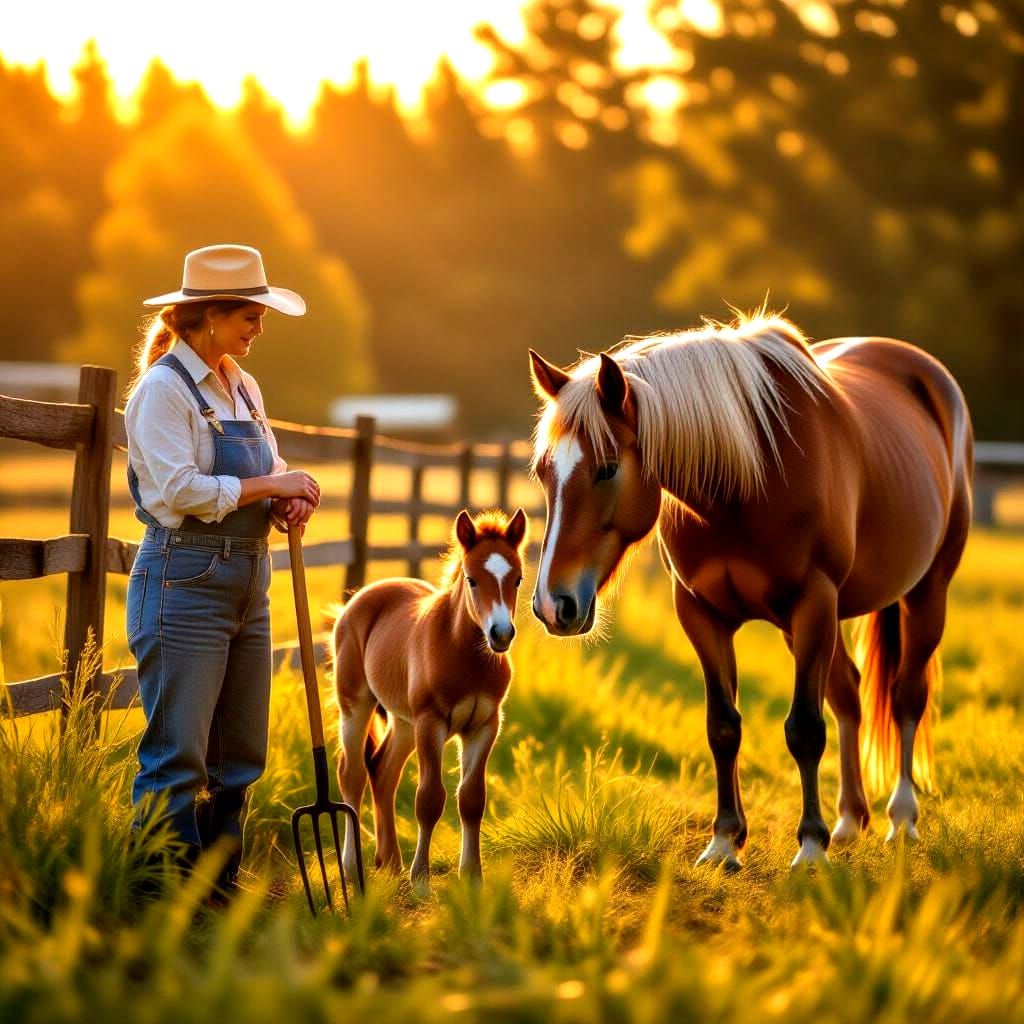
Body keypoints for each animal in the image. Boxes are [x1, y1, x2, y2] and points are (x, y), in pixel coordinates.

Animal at [332, 508, 528, 888]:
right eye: (471, 579)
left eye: (517, 579)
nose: (501, 633)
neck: (464, 654)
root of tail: (361, 596)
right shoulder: (431, 722)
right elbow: (429, 799)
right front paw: (421, 880)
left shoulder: (485, 725)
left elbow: (471, 799)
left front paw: (472, 877)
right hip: (356, 705)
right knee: (352, 774)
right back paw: (352, 866)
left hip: (404, 721)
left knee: (383, 772)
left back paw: (390, 863)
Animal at [528, 316, 972, 868]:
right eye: (544, 470)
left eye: (607, 467)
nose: (552, 605)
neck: (746, 479)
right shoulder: (702, 614)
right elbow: (723, 727)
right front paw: (724, 841)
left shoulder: (812, 602)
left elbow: (805, 729)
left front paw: (810, 846)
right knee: (849, 697)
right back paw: (850, 819)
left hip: (925, 593)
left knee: (906, 696)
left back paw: (901, 817)